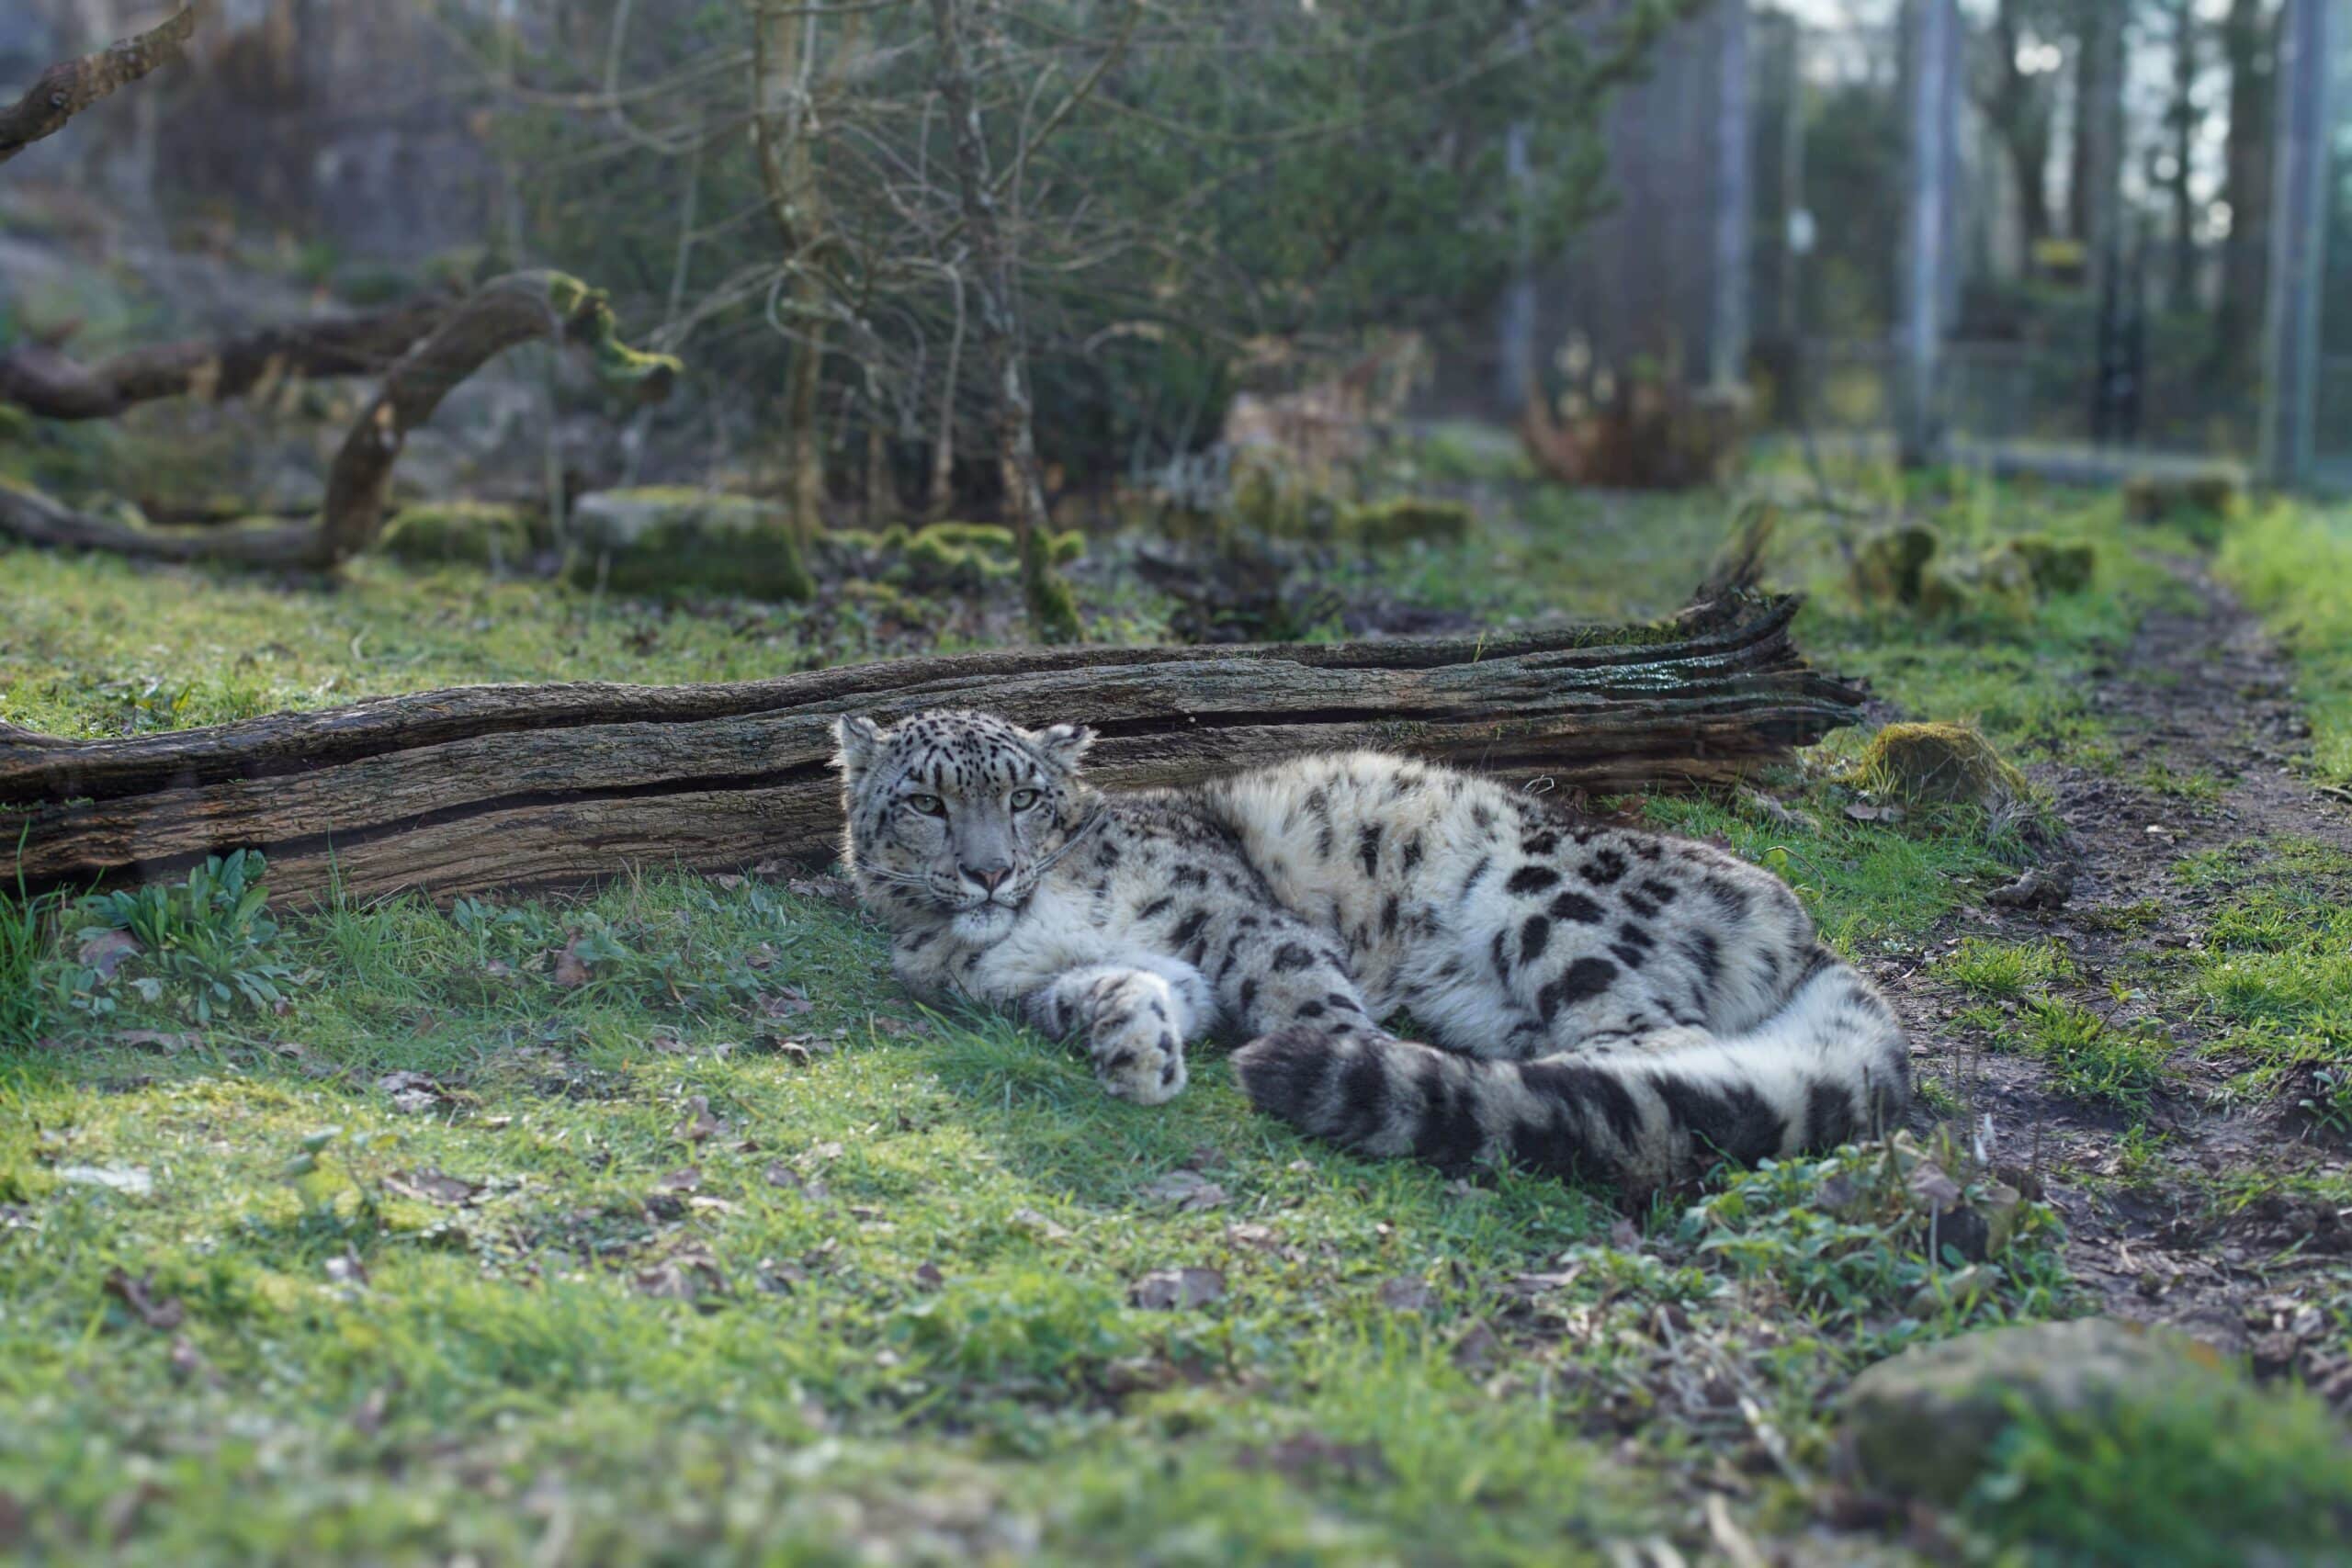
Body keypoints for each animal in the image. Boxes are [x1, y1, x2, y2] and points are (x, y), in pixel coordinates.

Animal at [834, 708, 1910, 1195]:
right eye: (925, 801)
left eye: (1022, 795)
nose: (986, 873)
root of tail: (1801, 928)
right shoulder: (1047, 980)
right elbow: (1116, 986)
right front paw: (1139, 1054)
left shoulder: (1231, 919)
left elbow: (1301, 988)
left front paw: (1341, 1054)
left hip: (1544, 902)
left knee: (1658, 1042)